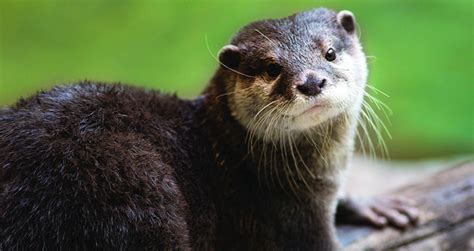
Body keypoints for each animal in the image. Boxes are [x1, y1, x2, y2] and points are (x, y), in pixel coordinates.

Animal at [1, 7, 420, 249]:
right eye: (272, 68)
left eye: (330, 52)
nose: (312, 82)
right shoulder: (292, 215)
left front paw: (371, 204)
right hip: (127, 186)